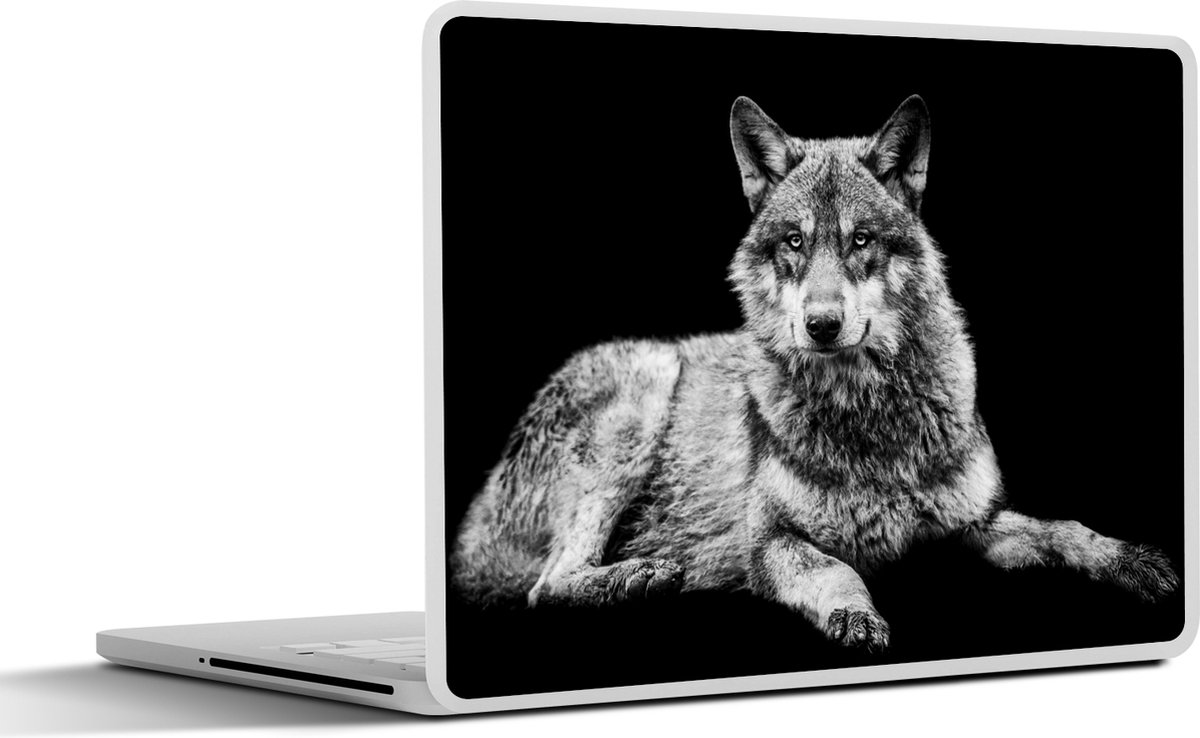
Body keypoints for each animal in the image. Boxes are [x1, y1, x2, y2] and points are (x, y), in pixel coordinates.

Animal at [451, 95, 1179, 650]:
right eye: (795, 241)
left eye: (861, 240)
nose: (822, 324)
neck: (870, 420)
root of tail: (476, 517)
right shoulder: (771, 541)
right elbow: (833, 569)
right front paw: (855, 615)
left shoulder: (973, 524)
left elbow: (1065, 529)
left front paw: (1133, 561)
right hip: (645, 388)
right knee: (545, 586)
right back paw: (635, 577)